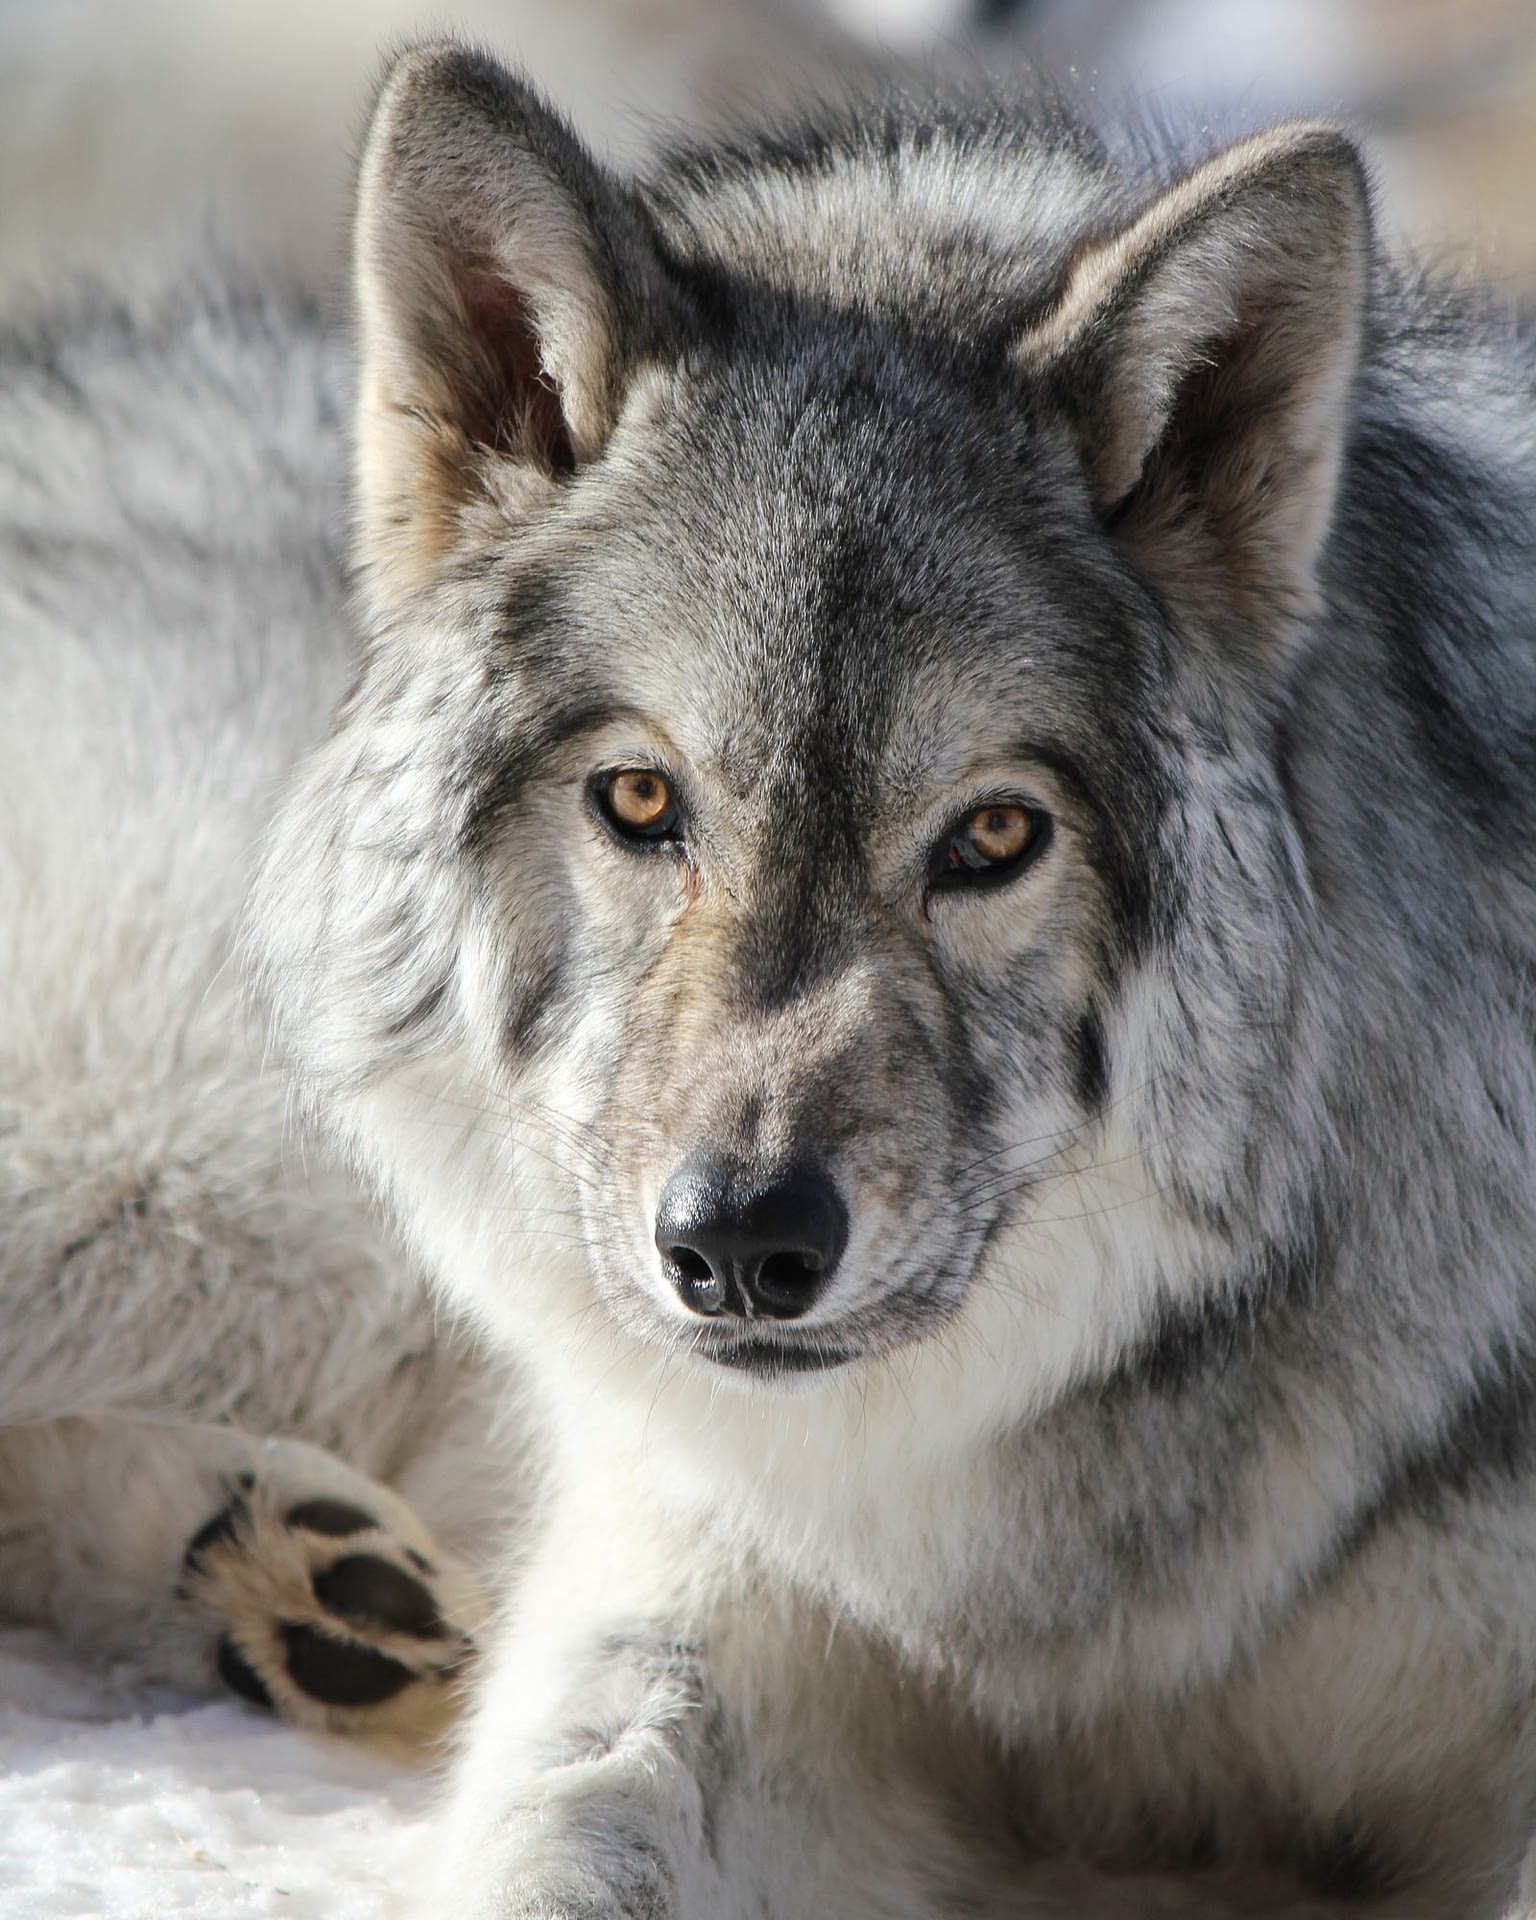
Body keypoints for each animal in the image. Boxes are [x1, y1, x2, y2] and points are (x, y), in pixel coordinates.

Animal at [3, 30, 1536, 1920]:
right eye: (641, 799)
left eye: (993, 835)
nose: (742, 1246)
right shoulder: (700, 1573)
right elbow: (566, 1832)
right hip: (195, 1188)